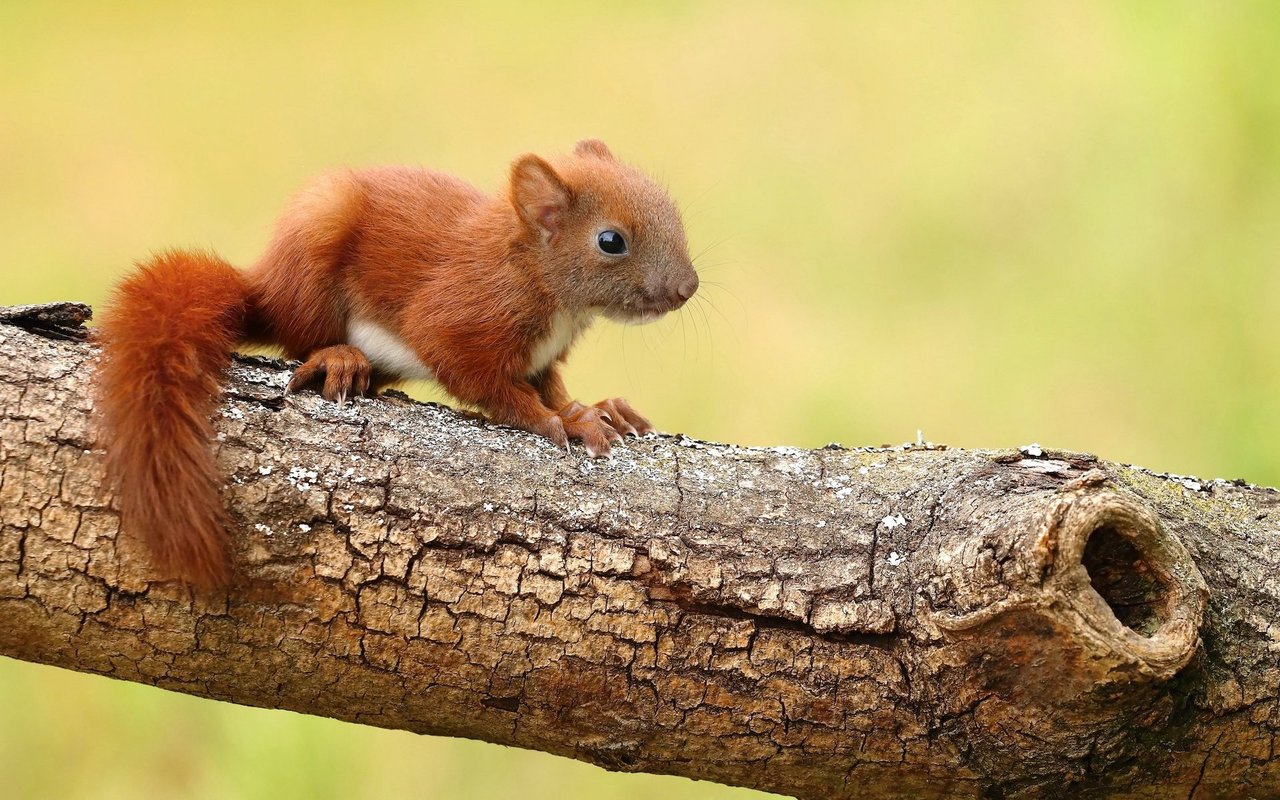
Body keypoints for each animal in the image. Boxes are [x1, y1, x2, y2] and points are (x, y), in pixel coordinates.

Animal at [93, 138, 701, 586]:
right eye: (610, 241)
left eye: (673, 212)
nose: (687, 289)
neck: (549, 292)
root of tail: (264, 286)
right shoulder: (459, 319)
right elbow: (492, 385)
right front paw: (556, 423)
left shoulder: (541, 356)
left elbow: (551, 385)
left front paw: (595, 410)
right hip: (316, 247)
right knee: (299, 339)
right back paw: (338, 357)